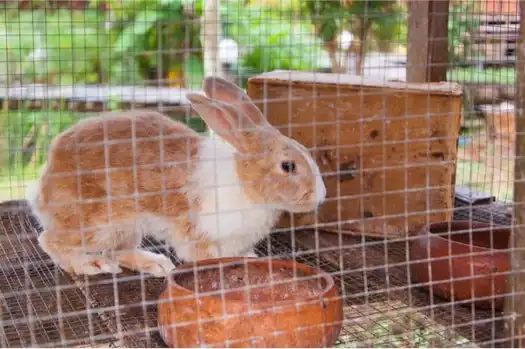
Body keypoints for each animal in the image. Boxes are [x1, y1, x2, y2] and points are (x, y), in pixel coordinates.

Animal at [26, 77, 326, 278]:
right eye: (288, 166)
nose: (321, 196)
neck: (245, 183)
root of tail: (45, 179)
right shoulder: (200, 234)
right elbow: (206, 256)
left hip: (126, 227)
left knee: (119, 252)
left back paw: (155, 264)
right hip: (98, 223)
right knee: (50, 240)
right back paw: (90, 265)